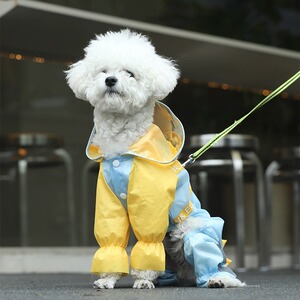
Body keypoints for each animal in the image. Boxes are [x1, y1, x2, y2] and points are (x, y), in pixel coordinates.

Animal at [65, 29, 244, 290]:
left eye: (129, 73)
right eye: (103, 71)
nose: (110, 80)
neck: (123, 147)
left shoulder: (150, 205)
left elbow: (148, 240)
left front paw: (142, 279)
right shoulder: (109, 204)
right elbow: (111, 239)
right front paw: (107, 278)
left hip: (191, 228)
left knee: (212, 258)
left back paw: (218, 278)